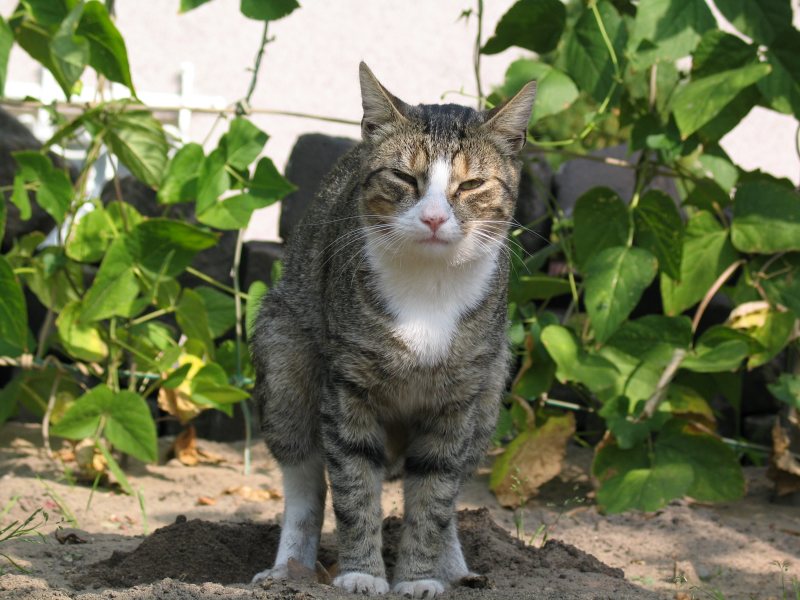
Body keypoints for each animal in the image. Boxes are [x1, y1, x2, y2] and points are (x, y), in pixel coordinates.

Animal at [250, 63, 536, 596]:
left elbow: (434, 496)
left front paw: (419, 578)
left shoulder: (459, 400)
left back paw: (455, 568)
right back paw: (290, 569)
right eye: (404, 176)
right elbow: (354, 487)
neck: (429, 288)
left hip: (491, 390)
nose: (434, 216)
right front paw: (362, 573)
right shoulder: (347, 388)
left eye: (471, 185)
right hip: (285, 362)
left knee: (450, 491)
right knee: (303, 479)